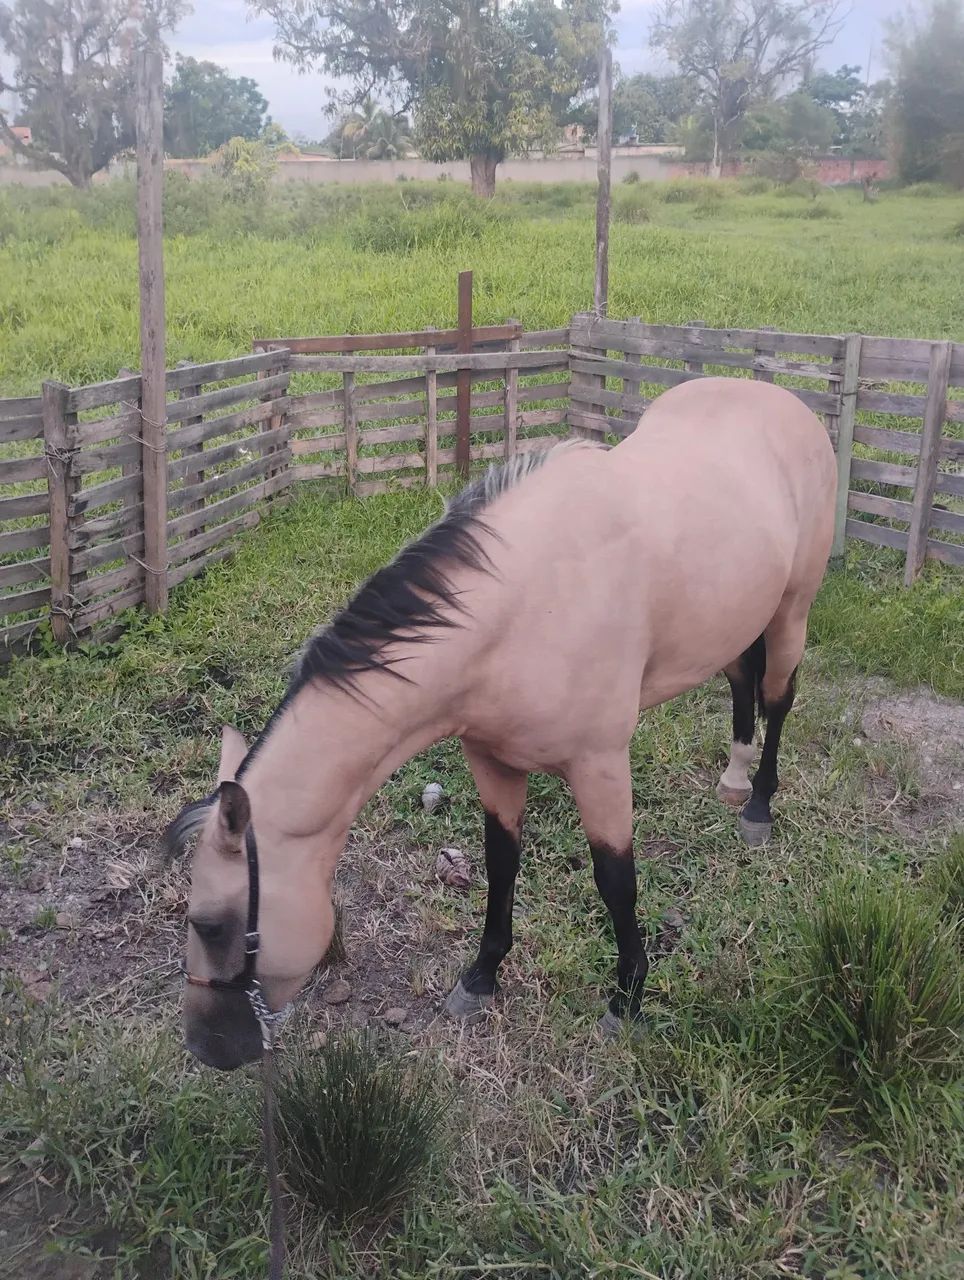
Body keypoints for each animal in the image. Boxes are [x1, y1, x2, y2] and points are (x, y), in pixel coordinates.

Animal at [167, 376, 837, 1069]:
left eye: (210, 925)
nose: (206, 1048)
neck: (520, 610)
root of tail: (781, 399)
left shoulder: (600, 764)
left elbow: (616, 880)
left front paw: (626, 999)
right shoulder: (492, 761)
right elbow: (500, 863)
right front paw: (481, 977)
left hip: (792, 611)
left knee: (778, 699)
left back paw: (756, 807)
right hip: (734, 619)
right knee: (739, 680)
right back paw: (732, 780)